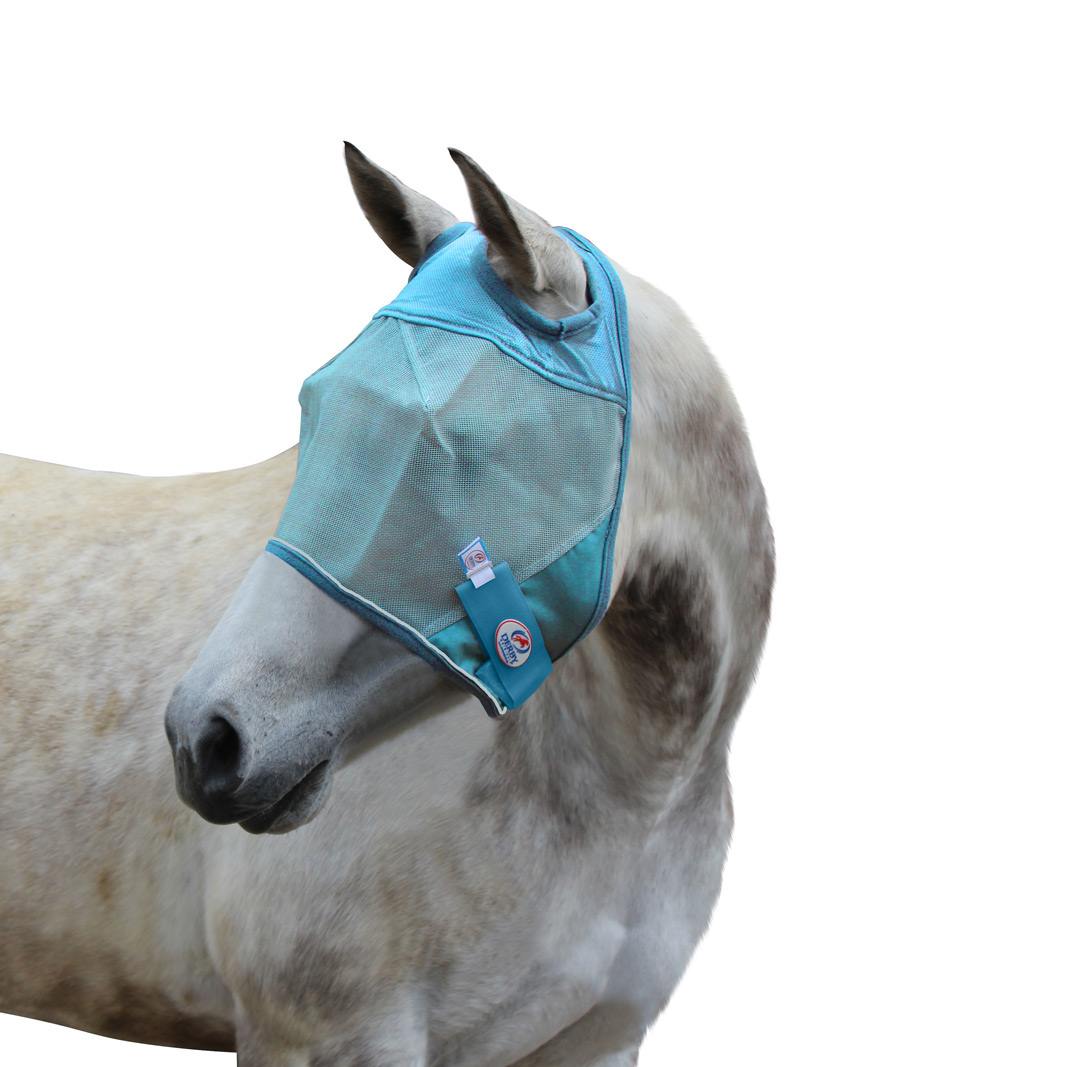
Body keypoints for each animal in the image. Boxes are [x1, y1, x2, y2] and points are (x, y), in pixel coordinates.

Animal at [0, 146, 774, 1065]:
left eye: (450, 437)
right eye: (316, 402)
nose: (207, 740)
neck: (623, 798)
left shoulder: (601, 1038)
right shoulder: (328, 1035)